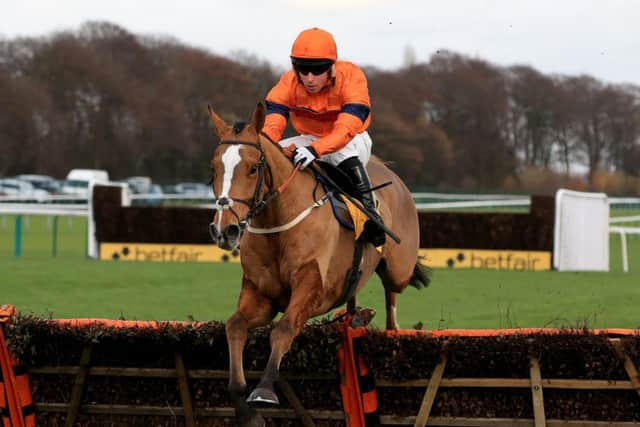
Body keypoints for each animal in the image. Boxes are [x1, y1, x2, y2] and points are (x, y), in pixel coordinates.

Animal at [209, 102, 430, 426]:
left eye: (253, 168)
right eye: (213, 168)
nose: (225, 230)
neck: (278, 224)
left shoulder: (312, 287)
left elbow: (284, 329)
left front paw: (264, 389)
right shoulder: (261, 295)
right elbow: (234, 326)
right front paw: (245, 407)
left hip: (398, 268)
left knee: (392, 294)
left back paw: (388, 327)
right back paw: (356, 316)